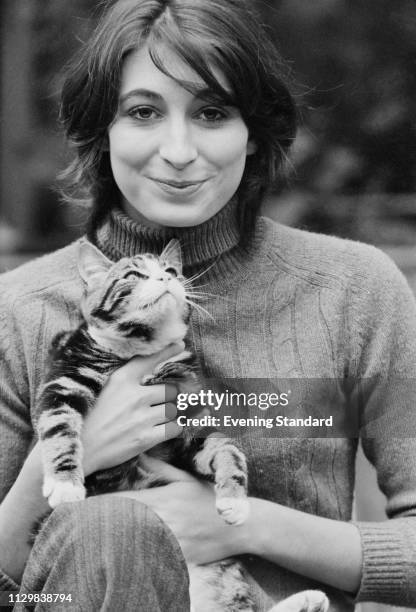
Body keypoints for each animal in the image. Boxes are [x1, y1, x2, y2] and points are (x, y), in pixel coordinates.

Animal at [35, 239, 328, 612]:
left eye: (171, 270)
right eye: (133, 274)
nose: (166, 277)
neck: (143, 353)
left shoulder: (188, 422)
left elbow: (225, 449)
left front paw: (234, 498)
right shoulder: (64, 382)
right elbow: (60, 429)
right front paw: (64, 484)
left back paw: (307, 600)